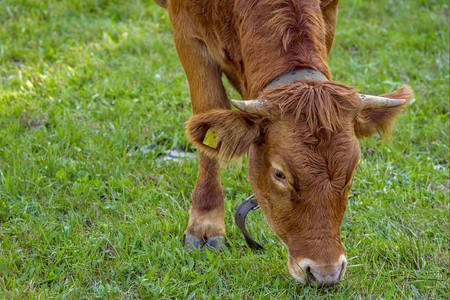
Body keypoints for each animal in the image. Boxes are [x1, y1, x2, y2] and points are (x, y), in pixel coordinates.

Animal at [154, 0, 412, 286]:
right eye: (280, 174)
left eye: (352, 172)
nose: (325, 273)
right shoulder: (187, 30)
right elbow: (208, 113)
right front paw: (204, 224)